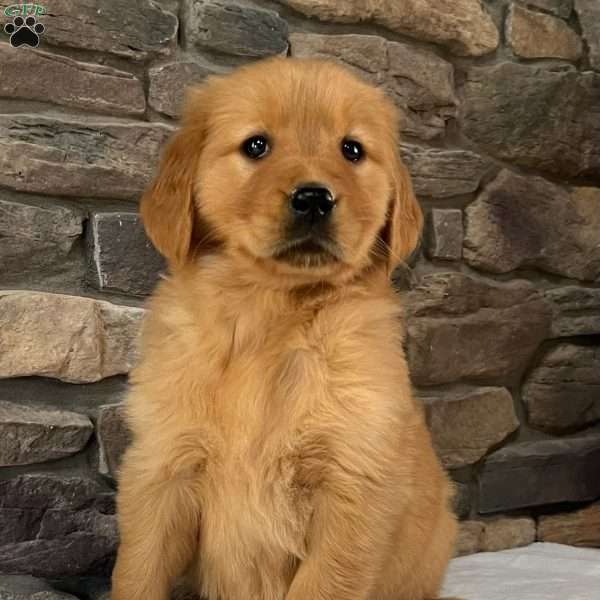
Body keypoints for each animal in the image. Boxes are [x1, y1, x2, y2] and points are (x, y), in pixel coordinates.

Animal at [111, 57, 454, 600]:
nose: (313, 198)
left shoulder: (352, 483)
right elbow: (138, 573)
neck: (268, 314)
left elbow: (324, 584)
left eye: (352, 149)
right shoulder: (163, 467)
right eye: (256, 145)